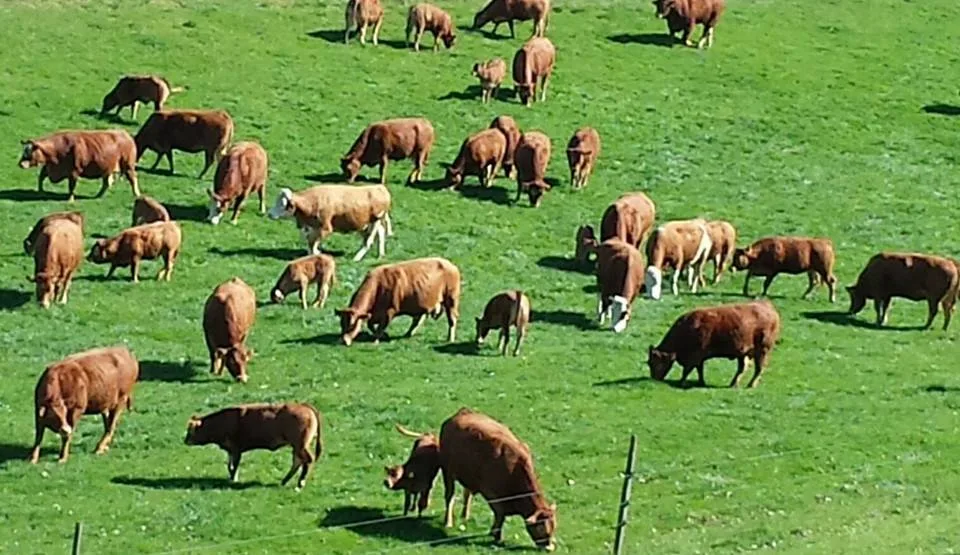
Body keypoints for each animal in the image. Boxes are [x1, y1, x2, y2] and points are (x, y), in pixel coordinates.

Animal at [185, 403, 323, 490]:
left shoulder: (236, 449)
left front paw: (234, 479)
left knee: (307, 460)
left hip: (300, 445)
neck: (223, 422)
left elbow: (234, 466)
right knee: (297, 461)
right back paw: (284, 481)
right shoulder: (231, 450)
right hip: (297, 447)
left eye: (190, 431)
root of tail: (304, 406)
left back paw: (300, 483)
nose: (185, 440)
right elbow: (230, 465)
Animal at [440, 407, 557, 551]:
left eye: (554, 527)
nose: (549, 548)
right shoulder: (493, 495)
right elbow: (500, 515)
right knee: (449, 496)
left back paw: (465, 515)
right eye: (541, 528)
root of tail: (463, 412)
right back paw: (448, 522)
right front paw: (496, 536)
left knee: (467, 493)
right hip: (447, 470)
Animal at [648, 300, 781, 388]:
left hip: (762, 350)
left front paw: (681, 382)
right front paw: (701, 382)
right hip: (743, 354)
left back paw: (750, 385)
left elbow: (687, 370)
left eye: (657, 362)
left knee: (759, 369)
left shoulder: (695, 357)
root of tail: (767, 306)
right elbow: (699, 370)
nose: (654, 378)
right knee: (742, 368)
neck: (689, 328)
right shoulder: (699, 358)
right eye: (649, 362)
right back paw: (733, 384)